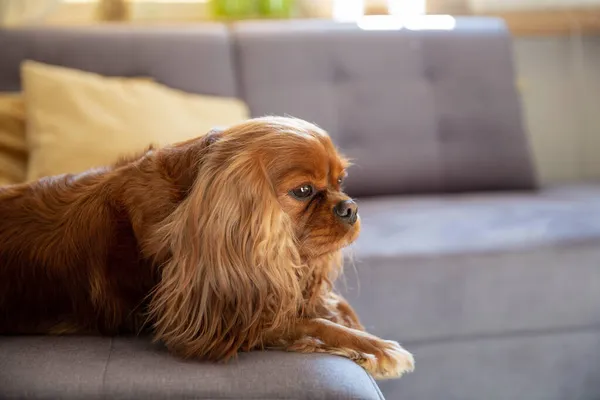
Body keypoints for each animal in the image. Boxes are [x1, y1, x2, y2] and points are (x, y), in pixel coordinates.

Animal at [0, 115, 412, 378]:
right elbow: (309, 324)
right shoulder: (207, 323)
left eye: (341, 180)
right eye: (303, 191)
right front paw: (377, 347)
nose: (350, 207)